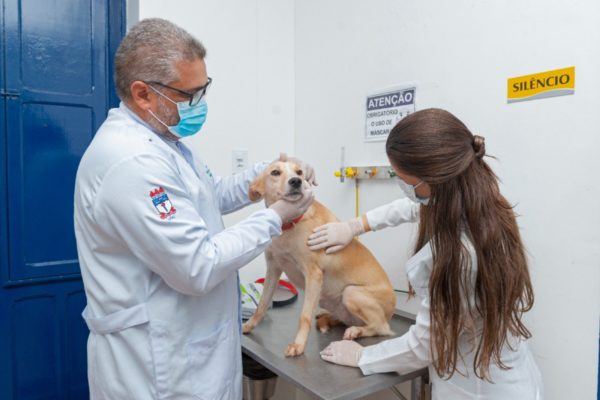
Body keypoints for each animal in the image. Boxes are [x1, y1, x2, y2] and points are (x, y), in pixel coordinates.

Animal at [241, 156, 396, 356]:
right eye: (275, 172)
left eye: (299, 172)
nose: (296, 181)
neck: (289, 224)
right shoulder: (273, 269)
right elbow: (262, 304)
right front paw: (249, 325)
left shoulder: (313, 275)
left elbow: (304, 316)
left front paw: (298, 345)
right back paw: (329, 317)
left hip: (351, 292)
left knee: (382, 327)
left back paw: (356, 331)